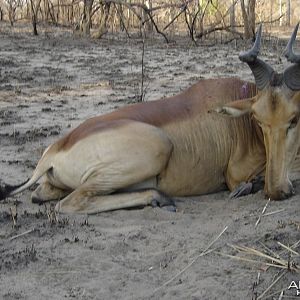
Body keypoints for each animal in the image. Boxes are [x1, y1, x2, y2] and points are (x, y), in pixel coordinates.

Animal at [0, 25, 300, 213]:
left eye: (293, 119)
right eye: (259, 121)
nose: (276, 191)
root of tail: (55, 149)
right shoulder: (235, 173)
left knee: (42, 194)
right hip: (157, 147)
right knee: (71, 202)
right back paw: (159, 198)